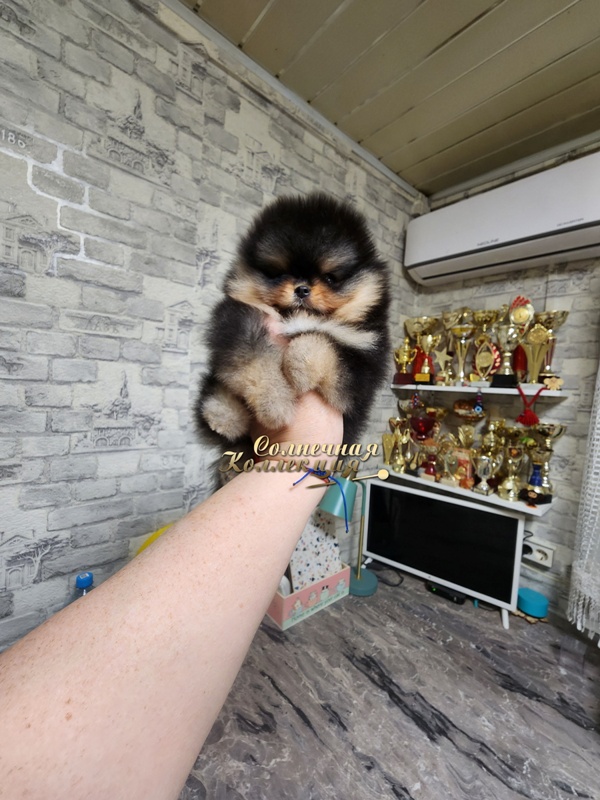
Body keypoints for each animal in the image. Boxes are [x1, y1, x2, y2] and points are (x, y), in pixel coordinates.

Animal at [195, 192, 390, 466]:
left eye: (330, 278)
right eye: (278, 273)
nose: (301, 288)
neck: (296, 316)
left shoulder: (363, 355)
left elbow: (321, 344)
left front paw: (298, 371)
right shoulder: (239, 318)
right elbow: (254, 360)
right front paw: (274, 404)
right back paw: (224, 415)